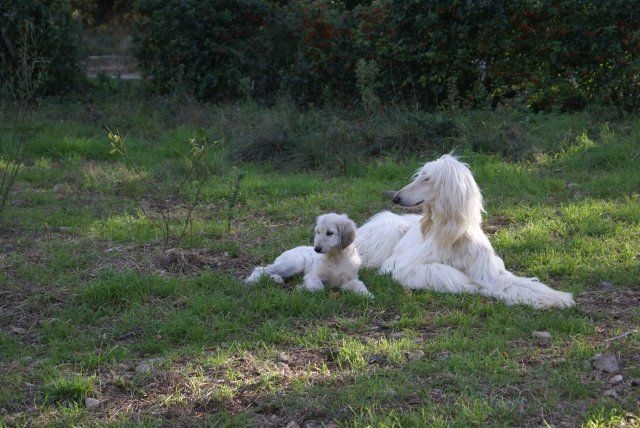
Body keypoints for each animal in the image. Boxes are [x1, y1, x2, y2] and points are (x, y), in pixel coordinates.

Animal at [246, 213, 376, 298]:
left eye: (329, 233)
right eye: (318, 232)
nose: (316, 249)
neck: (335, 258)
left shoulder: (350, 279)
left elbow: (360, 285)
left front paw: (367, 295)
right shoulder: (313, 275)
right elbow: (318, 288)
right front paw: (302, 288)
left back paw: (276, 279)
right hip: (294, 264)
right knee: (261, 268)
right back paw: (252, 280)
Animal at [356, 154, 576, 308]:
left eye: (426, 178)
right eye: (420, 176)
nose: (396, 198)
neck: (452, 236)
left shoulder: (486, 269)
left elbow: (512, 283)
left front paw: (557, 297)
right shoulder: (404, 266)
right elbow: (442, 271)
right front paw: (473, 285)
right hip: (388, 230)